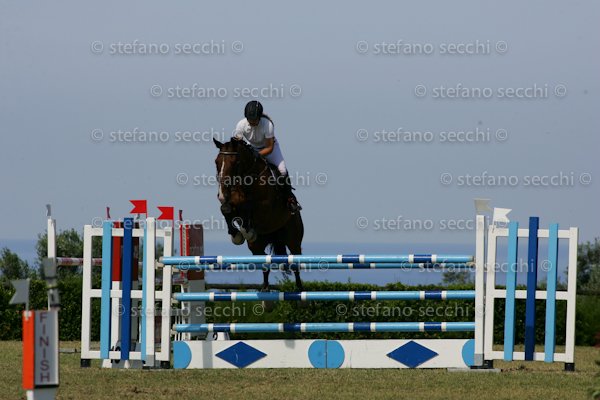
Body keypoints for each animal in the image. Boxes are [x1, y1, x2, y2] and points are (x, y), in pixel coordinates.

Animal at [213, 137, 304, 291]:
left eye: (235, 162)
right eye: (216, 162)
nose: (221, 194)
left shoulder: (265, 209)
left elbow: (248, 206)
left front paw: (246, 230)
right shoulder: (231, 202)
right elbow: (225, 209)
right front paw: (236, 234)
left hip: (293, 239)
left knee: (294, 261)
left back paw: (299, 289)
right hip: (256, 246)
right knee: (265, 260)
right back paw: (265, 288)